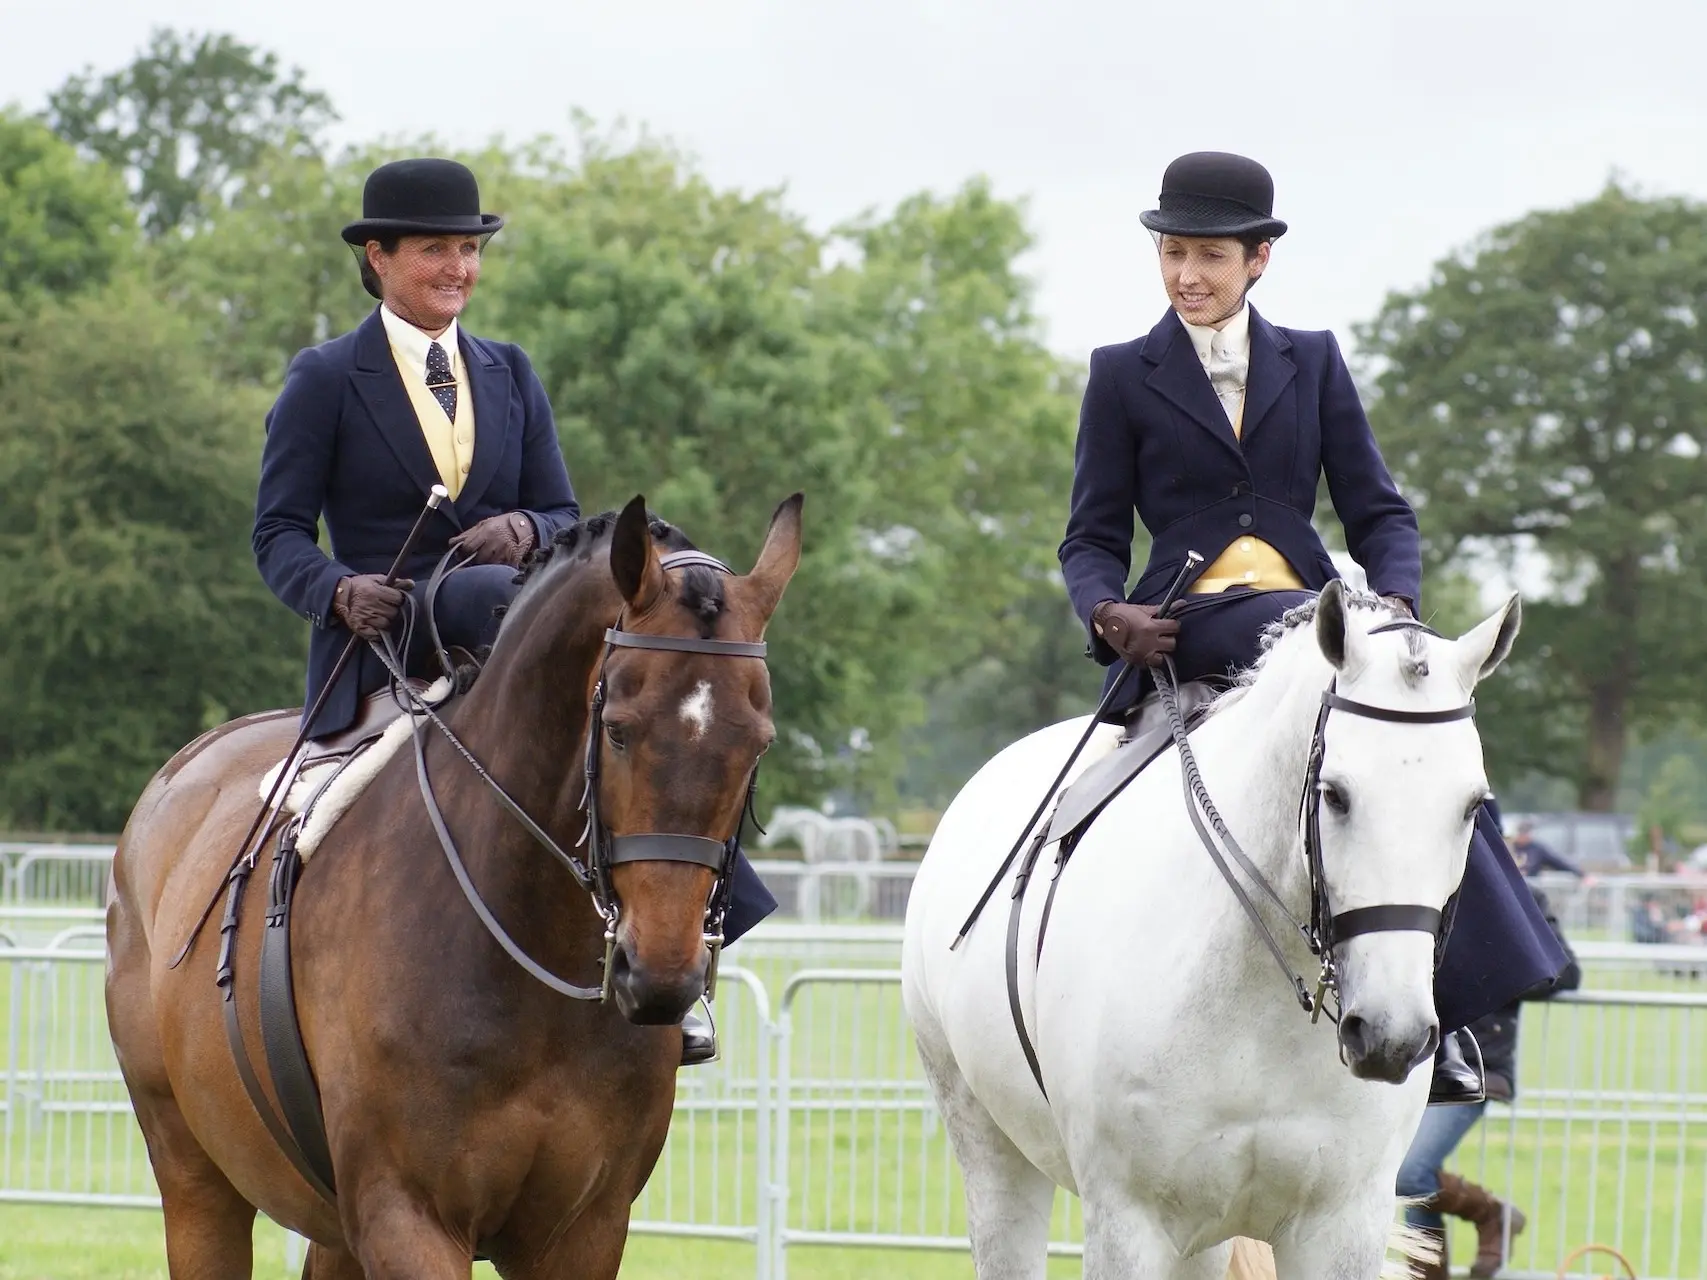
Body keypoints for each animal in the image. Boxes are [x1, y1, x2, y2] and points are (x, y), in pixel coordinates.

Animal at [106, 494, 805, 1276]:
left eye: (758, 742)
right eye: (619, 730)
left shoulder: (586, 1229)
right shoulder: (405, 1215)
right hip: (196, 1178)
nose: (658, 978)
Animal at [908, 587, 1522, 1280]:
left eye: (1472, 805)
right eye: (1335, 795)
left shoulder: (1344, 1223)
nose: (1391, 1036)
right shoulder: (1128, 1221)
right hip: (991, 1150)